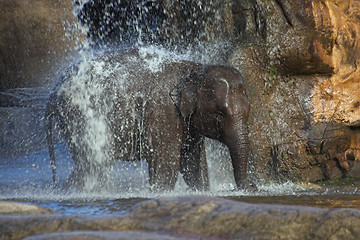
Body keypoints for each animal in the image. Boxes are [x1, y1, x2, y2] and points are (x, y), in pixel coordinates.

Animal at [45, 48, 256, 191]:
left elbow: (192, 163)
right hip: (80, 116)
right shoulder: (163, 112)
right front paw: (161, 193)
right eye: (219, 114)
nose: (252, 186)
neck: (192, 70)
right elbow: (166, 162)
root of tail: (54, 91)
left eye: (249, 110)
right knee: (96, 164)